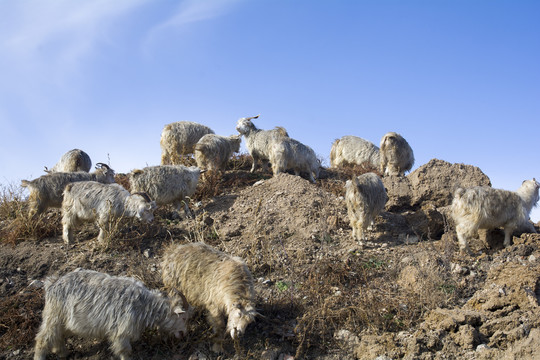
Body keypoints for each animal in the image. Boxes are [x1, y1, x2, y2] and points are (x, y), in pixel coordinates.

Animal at [33, 268, 190, 360]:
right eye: (183, 317)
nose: (184, 334)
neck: (144, 304)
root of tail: (52, 284)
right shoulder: (121, 332)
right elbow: (125, 351)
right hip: (53, 316)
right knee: (43, 339)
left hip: (64, 322)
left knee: (57, 336)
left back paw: (62, 353)